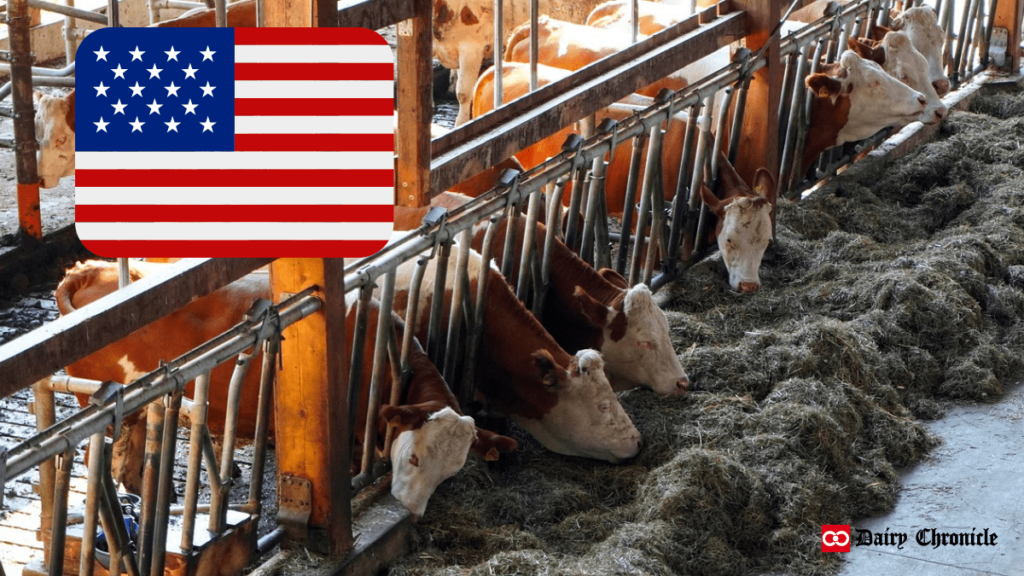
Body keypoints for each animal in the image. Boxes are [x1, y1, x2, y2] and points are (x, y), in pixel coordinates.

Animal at [51, 259, 516, 516]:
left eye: (452, 471)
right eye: (415, 458)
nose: (415, 512)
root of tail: (91, 269)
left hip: (137, 407)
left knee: (129, 459)